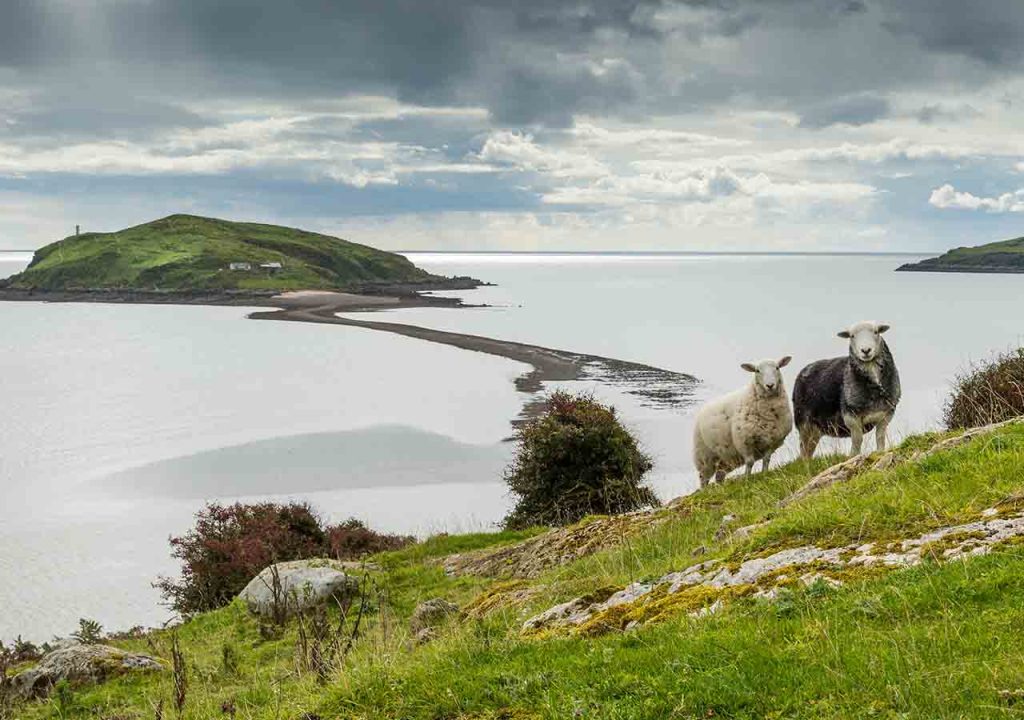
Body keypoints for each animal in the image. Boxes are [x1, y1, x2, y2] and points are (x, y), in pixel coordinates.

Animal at [692, 358, 794, 487]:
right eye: (757, 370)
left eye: (777, 368)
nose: (770, 385)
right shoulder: (744, 441)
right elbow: (750, 462)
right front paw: (747, 479)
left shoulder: (772, 441)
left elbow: (766, 460)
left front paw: (764, 474)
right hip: (704, 456)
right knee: (703, 478)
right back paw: (705, 489)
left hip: (725, 459)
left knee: (719, 475)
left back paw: (721, 487)